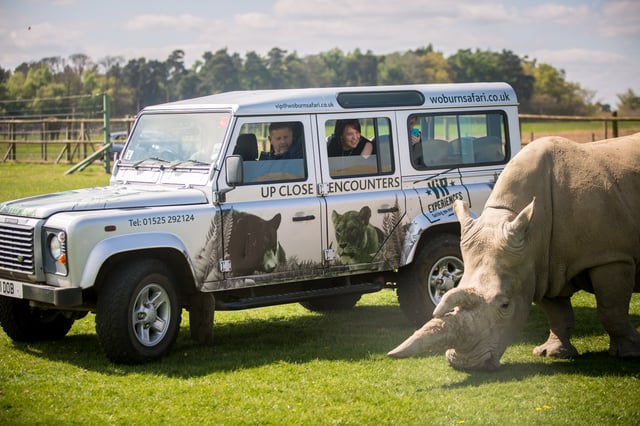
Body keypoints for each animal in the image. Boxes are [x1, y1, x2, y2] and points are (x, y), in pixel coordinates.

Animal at [388, 132, 640, 371]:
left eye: (505, 305)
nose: (464, 364)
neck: (532, 231)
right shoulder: (541, 264)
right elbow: (556, 312)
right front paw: (552, 353)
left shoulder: (611, 256)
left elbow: (611, 309)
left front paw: (629, 354)